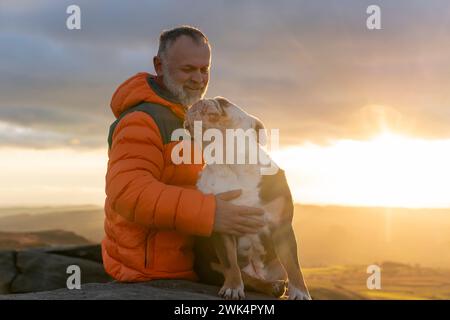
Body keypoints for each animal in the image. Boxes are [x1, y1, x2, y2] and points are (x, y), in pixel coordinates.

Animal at [185, 97, 312, 300]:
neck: (231, 162)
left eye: (223, 102)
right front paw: (233, 287)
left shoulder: (282, 227)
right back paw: (271, 286)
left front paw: (300, 292)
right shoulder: (224, 224)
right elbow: (230, 263)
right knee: (246, 277)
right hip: (209, 265)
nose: (200, 101)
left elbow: (293, 265)